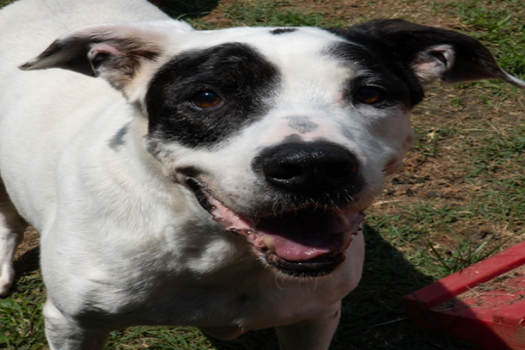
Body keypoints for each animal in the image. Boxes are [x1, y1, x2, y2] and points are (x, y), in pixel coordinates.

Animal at [1, 0, 524, 348]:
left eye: (372, 93)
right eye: (207, 97)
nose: (312, 168)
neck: (212, 251)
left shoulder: (313, 318)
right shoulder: (73, 324)